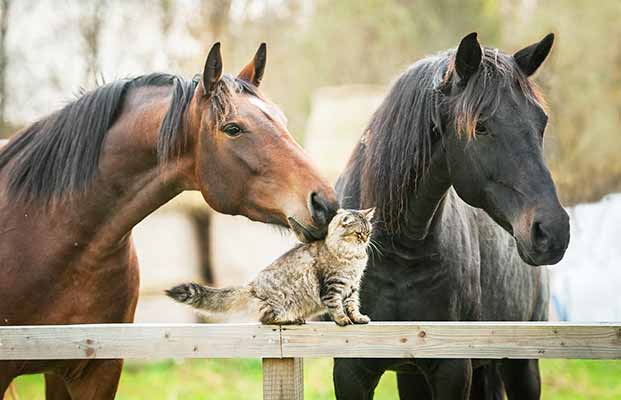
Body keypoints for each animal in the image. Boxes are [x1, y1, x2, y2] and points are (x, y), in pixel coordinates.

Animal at [165, 209, 376, 324]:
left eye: (369, 232)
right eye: (359, 233)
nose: (366, 240)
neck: (353, 257)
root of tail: (251, 287)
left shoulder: (352, 288)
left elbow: (353, 306)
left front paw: (358, 319)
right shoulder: (332, 287)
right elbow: (337, 308)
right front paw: (343, 320)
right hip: (277, 304)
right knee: (265, 319)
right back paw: (292, 319)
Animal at [336, 32, 568, 398]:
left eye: (541, 122)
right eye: (481, 126)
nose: (553, 231)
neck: (398, 251)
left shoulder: (452, 368)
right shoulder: (350, 371)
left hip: (522, 368)